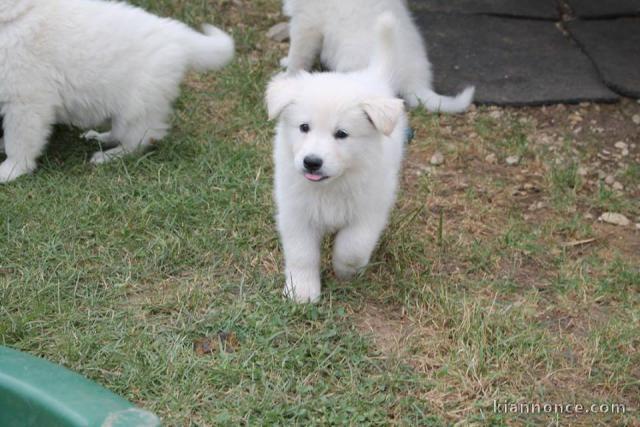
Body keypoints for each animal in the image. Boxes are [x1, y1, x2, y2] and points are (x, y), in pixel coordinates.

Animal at [0, 0, 235, 182]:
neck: (17, 15)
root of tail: (174, 33)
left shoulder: (25, 102)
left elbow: (19, 141)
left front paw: (11, 169)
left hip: (137, 106)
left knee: (141, 139)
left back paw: (108, 156)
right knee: (121, 131)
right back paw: (100, 137)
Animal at [266, 13, 408, 304]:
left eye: (341, 134)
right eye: (304, 127)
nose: (312, 162)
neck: (331, 185)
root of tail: (371, 76)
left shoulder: (369, 210)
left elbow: (352, 247)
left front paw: (345, 271)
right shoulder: (296, 212)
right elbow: (301, 254)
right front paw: (302, 291)